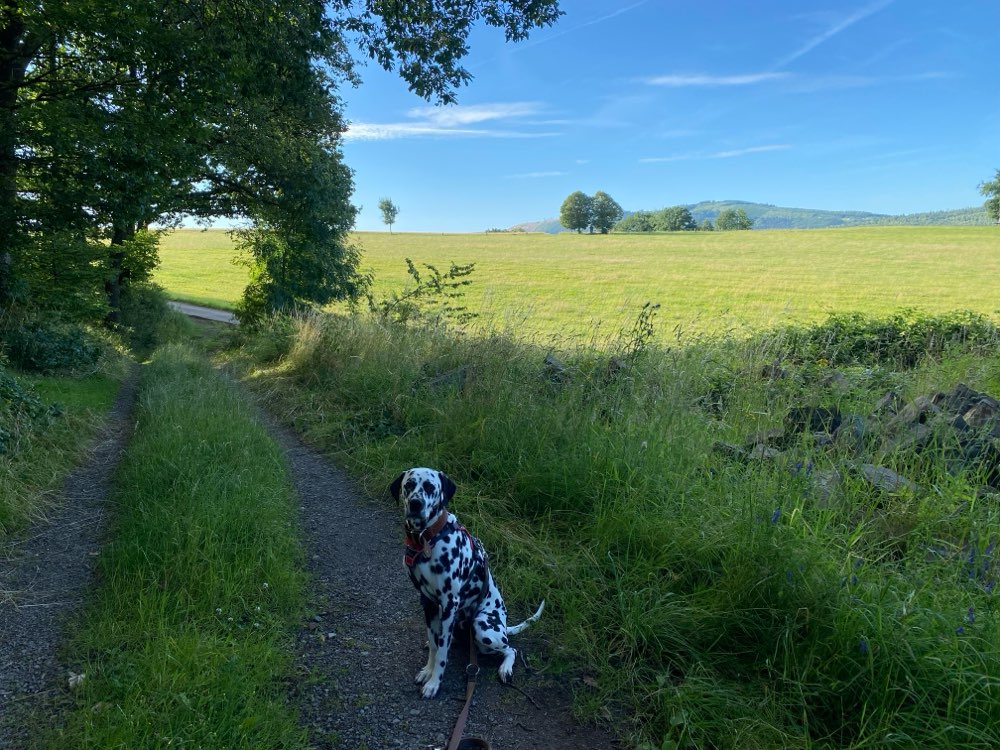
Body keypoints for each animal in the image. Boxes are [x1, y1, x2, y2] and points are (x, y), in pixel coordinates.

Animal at [390, 468, 548, 704]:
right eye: (408, 485)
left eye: (429, 486)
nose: (416, 504)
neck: (427, 539)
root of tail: (504, 626)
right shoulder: (428, 603)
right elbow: (435, 644)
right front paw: (428, 670)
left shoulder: (449, 604)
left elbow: (442, 654)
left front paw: (434, 683)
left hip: (482, 626)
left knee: (510, 648)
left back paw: (505, 668)